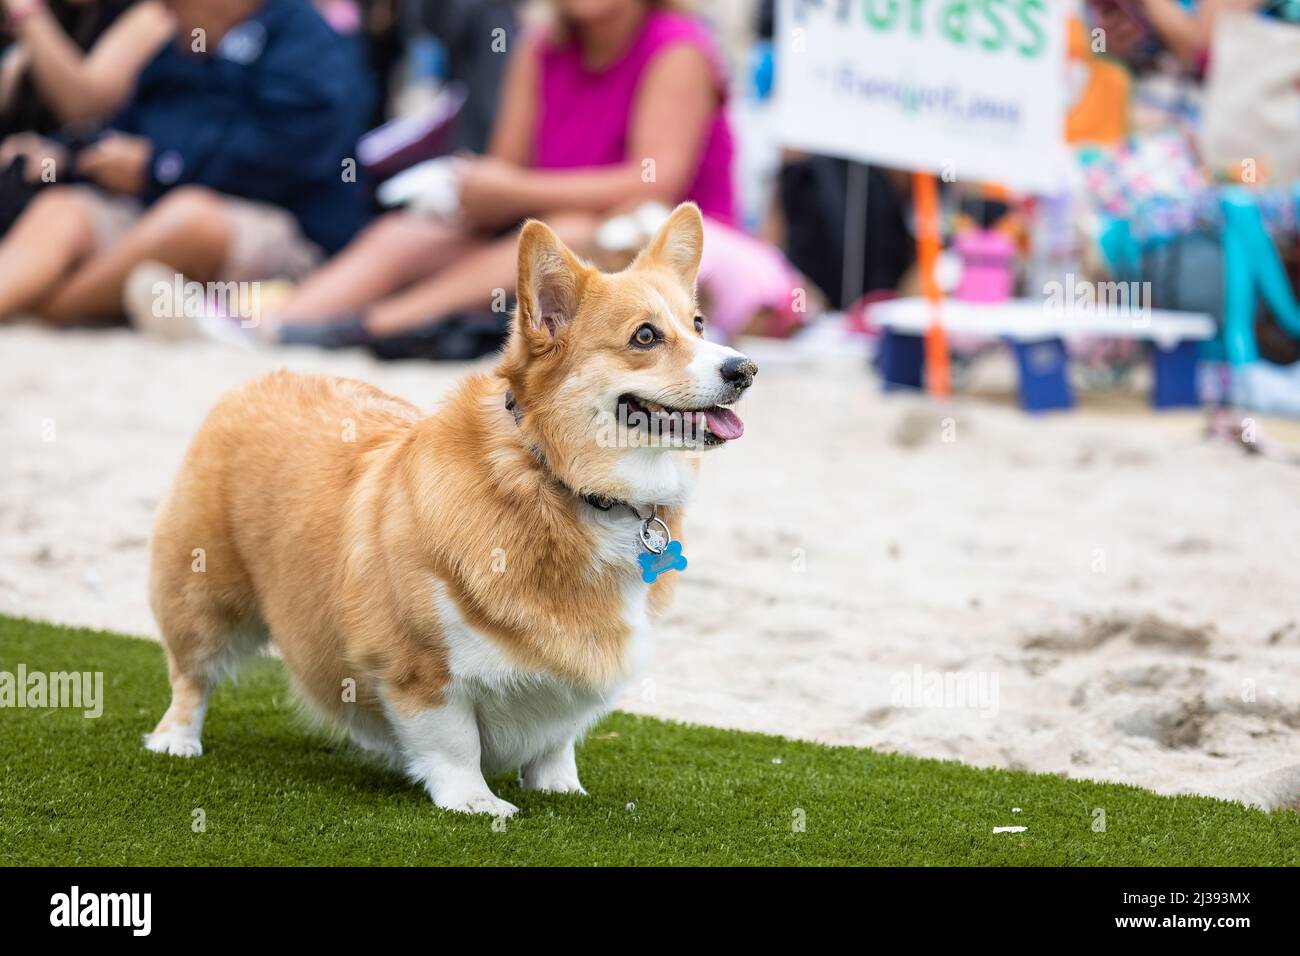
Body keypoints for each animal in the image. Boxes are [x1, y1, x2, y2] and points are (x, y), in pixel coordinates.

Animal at [143, 201, 759, 816]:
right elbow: (455, 742)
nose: (745, 369)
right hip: (202, 595)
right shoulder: (422, 669)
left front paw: (560, 787)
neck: (559, 480)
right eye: (645, 336)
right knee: (191, 676)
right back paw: (176, 741)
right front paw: (476, 803)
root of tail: (264, 379)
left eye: (699, 325)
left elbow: (558, 741)